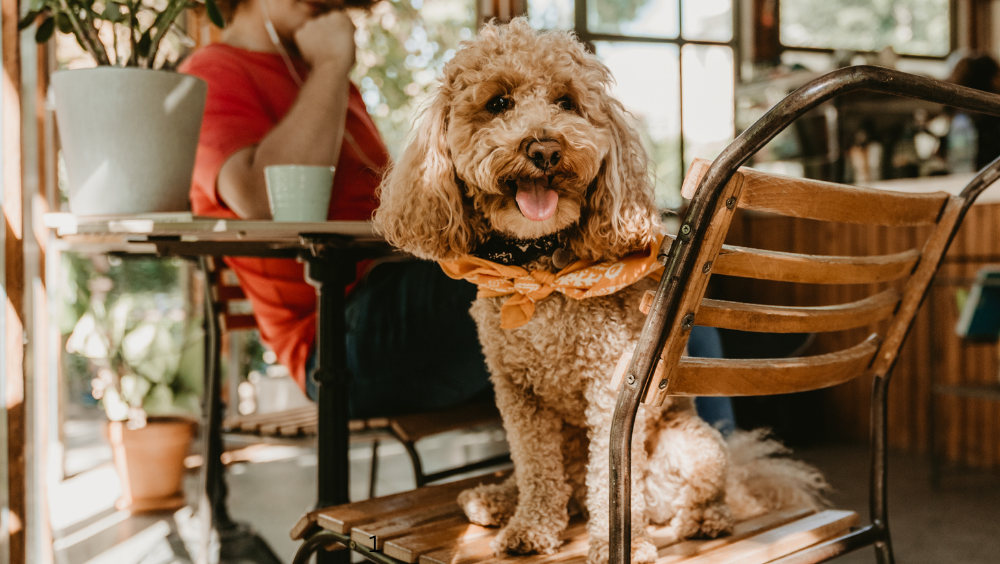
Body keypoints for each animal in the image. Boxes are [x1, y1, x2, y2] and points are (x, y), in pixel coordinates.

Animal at [372, 17, 824, 564]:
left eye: (566, 102)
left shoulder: (608, 391)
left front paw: (618, 544)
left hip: (695, 446)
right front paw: (530, 526)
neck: (539, 268)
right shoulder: (516, 393)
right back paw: (498, 499)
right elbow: (535, 467)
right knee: (555, 481)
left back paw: (697, 518)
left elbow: (608, 481)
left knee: (692, 492)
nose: (545, 149)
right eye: (498, 102)